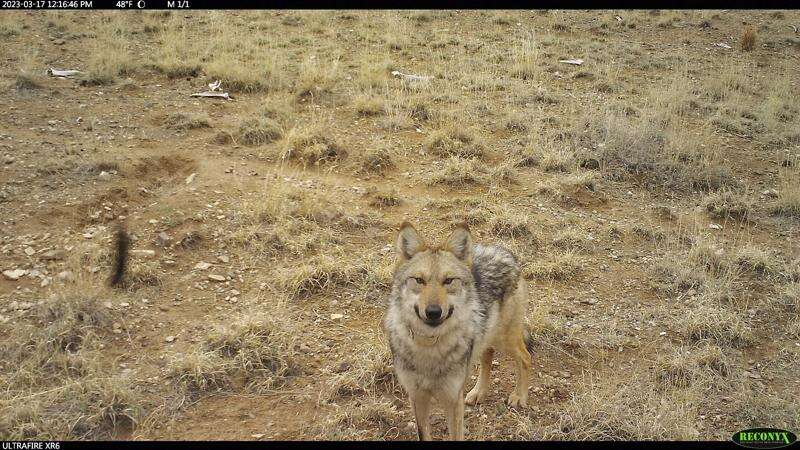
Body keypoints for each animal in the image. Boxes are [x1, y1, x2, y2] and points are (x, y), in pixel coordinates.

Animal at [382, 221, 532, 440]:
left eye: (448, 280)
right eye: (419, 280)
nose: (433, 312)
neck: (429, 347)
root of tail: (504, 251)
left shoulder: (453, 399)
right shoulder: (417, 398)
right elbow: (423, 434)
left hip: (506, 339)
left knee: (525, 358)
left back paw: (519, 396)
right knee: (488, 357)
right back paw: (478, 392)